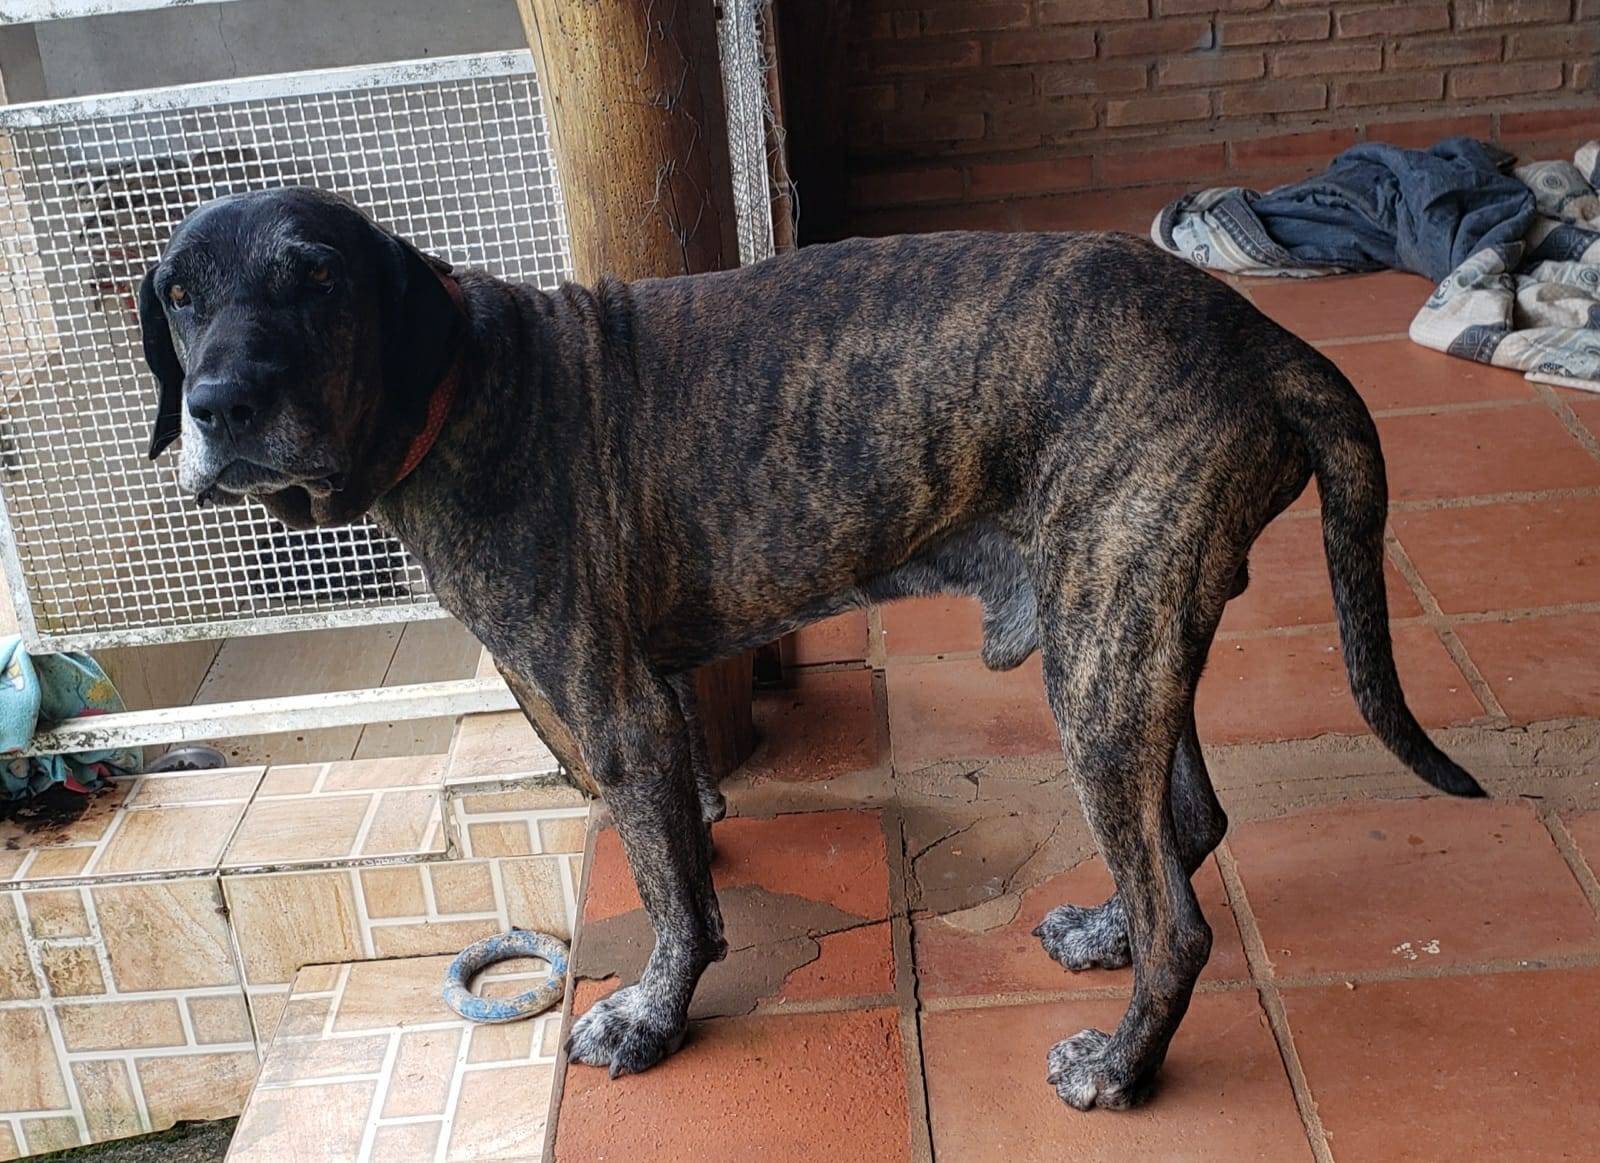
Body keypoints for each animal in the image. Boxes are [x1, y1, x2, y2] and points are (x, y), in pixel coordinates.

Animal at [140, 187, 1485, 1111]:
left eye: (316, 280)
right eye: (182, 297)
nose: (219, 407)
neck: (457, 390)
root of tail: (1259, 336)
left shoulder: (617, 708)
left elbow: (673, 893)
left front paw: (650, 1017)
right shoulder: (646, 707)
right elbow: (681, 847)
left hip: (1103, 655)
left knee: (1184, 919)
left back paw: (1119, 1064)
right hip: (1125, 627)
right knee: (1187, 826)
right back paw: (1108, 931)